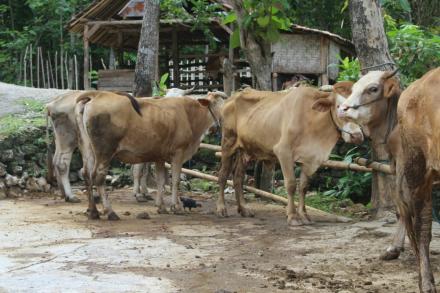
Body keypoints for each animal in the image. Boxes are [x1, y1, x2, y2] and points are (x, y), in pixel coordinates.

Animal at [75, 90, 225, 219]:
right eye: (220, 106)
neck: (189, 115)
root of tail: (97, 94)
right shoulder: (178, 153)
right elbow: (175, 181)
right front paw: (176, 207)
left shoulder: (160, 156)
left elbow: (161, 181)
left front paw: (161, 207)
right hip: (104, 152)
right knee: (98, 177)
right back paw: (110, 212)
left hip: (88, 149)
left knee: (86, 174)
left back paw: (93, 211)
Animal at [217, 82, 364, 224]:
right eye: (339, 107)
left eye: (358, 107)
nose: (357, 136)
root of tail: (232, 97)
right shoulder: (283, 152)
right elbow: (291, 184)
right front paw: (293, 216)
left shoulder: (309, 158)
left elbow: (303, 187)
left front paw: (304, 215)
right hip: (227, 143)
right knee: (223, 175)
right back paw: (222, 208)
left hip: (244, 150)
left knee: (238, 178)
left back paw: (244, 209)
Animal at [340, 67, 440, 290]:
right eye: (353, 87)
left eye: (373, 89)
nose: (343, 108)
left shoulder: (404, 167)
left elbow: (402, 209)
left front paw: (394, 248)